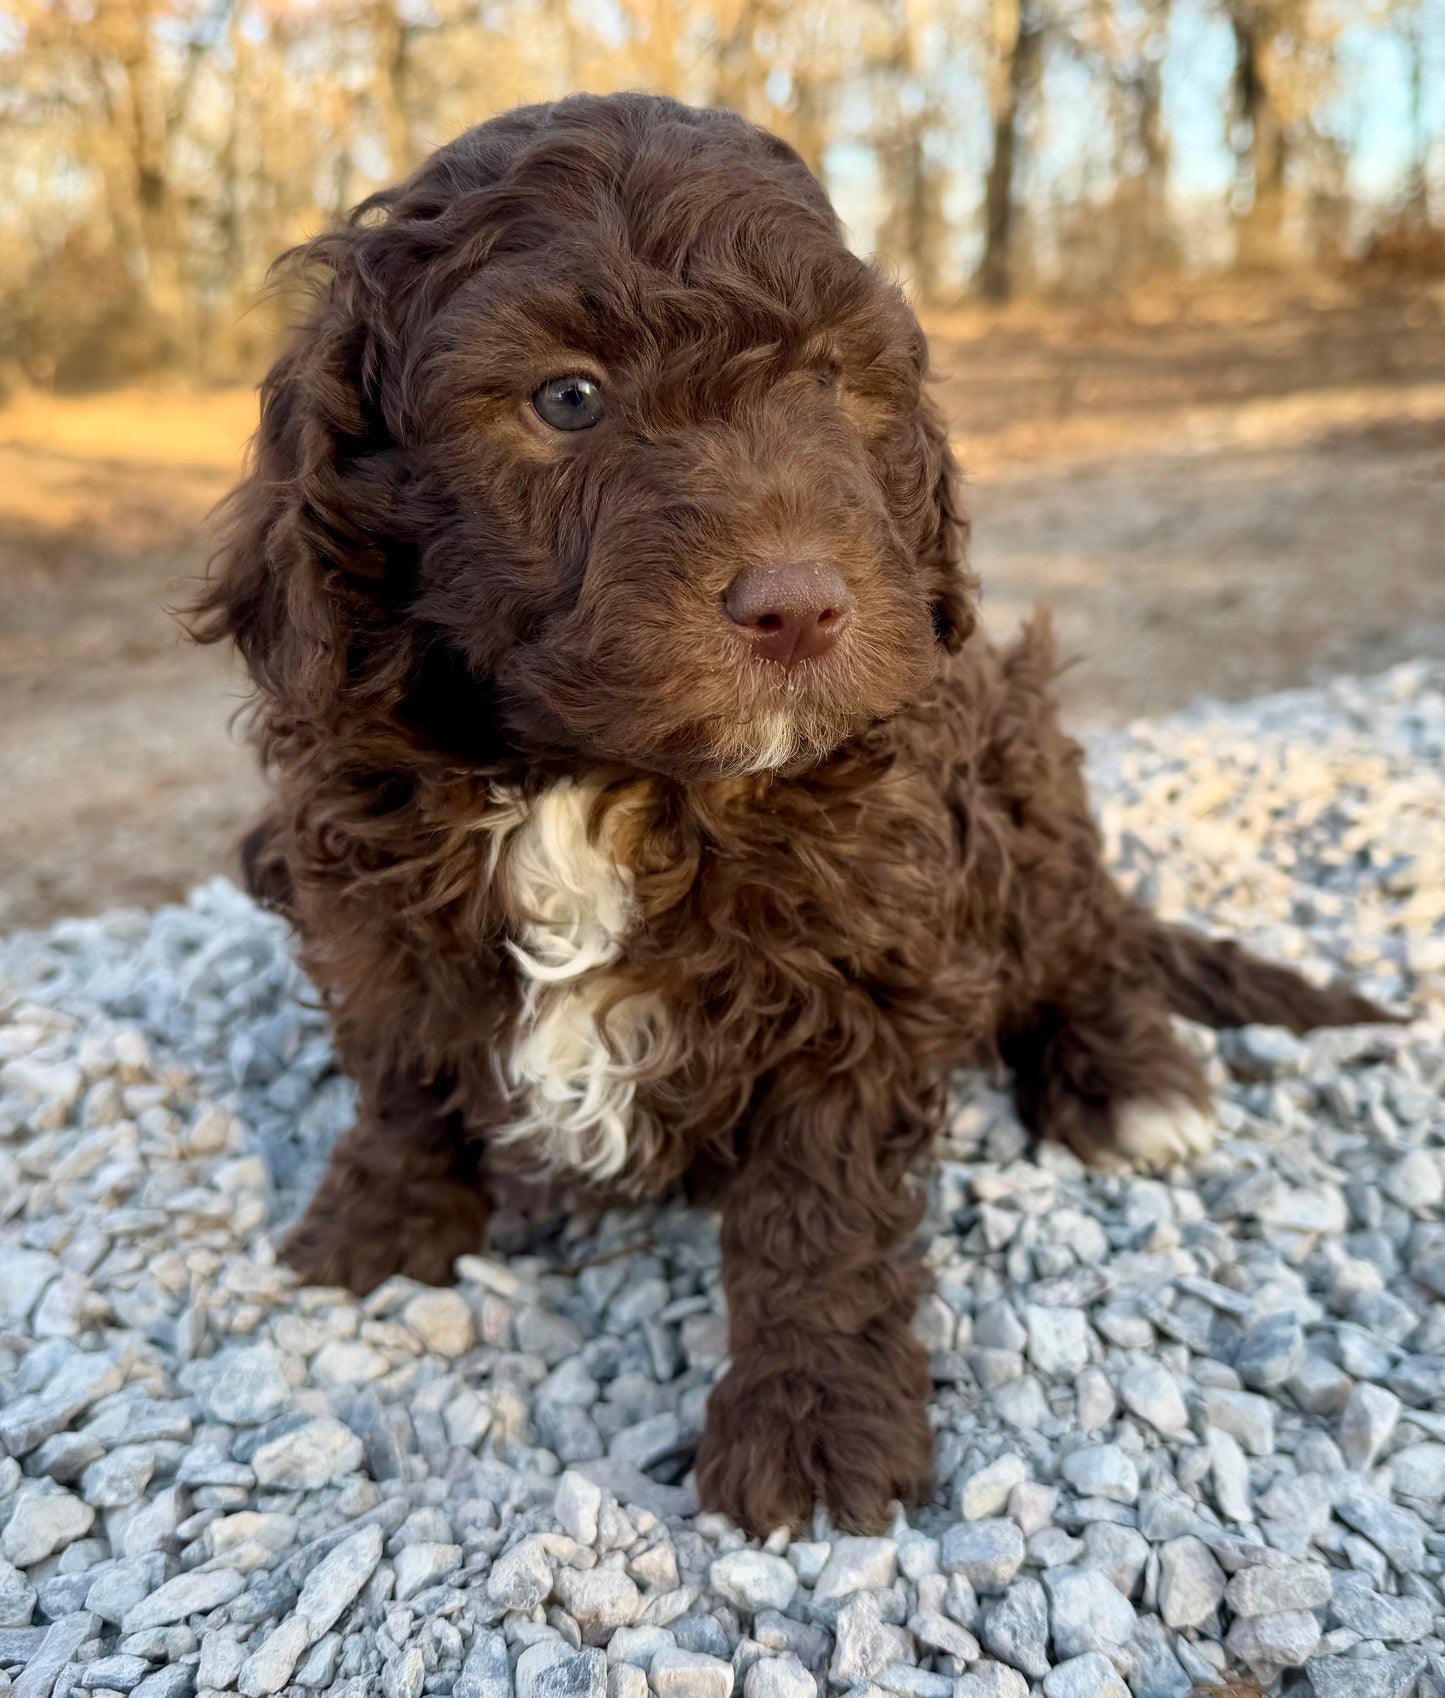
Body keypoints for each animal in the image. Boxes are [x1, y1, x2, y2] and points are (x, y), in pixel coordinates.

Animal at [195, 92, 1392, 1541]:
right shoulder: (363, 880)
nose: (800, 605)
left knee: (1083, 934)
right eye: (568, 397)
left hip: (1018, 753)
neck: (602, 783)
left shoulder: (858, 954)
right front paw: (374, 1224)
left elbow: (814, 1214)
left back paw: (1130, 1082)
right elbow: (401, 1068)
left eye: (827, 381)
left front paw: (813, 1429)